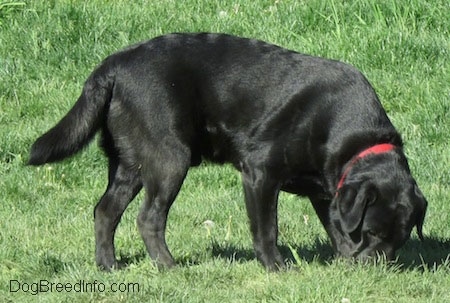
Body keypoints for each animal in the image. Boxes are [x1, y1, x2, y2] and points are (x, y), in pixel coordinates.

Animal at [29, 32, 428, 270]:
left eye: (399, 239)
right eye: (373, 233)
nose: (378, 267)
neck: (350, 132)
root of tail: (112, 65)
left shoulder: (326, 192)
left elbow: (337, 227)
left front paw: (346, 259)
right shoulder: (260, 174)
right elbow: (267, 228)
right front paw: (276, 267)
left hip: (130, 163)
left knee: (105, 211)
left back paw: (108, 265)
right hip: (170, 158)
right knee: (148, 218)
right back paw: (168, 266)